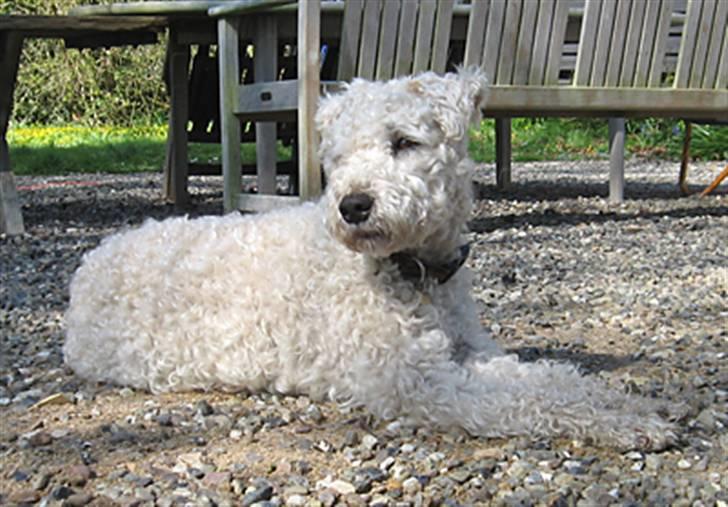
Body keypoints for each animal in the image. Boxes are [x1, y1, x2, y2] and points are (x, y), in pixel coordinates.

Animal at [65, 69, 672, 450]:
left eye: (404, 142)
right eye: (337, 157)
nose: (353, 205)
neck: (416, 273)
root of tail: (89, 264)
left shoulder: (469, 354)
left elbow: (550, 379)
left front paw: (622, 405)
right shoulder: (417, 384)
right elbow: (519, 402)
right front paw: (619, 423)